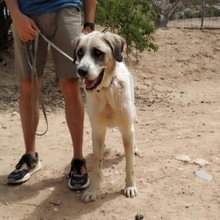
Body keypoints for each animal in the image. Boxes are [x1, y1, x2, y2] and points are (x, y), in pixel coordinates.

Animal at [72, 31, 141, 203]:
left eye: (97, 52)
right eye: (80, 53)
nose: (81, 71)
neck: (106, 90)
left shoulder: (127, 130)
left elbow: (130, 164)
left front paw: (130, 186)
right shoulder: (97, 131)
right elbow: (97, 165)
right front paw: (92, 191)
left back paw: (135, 148)